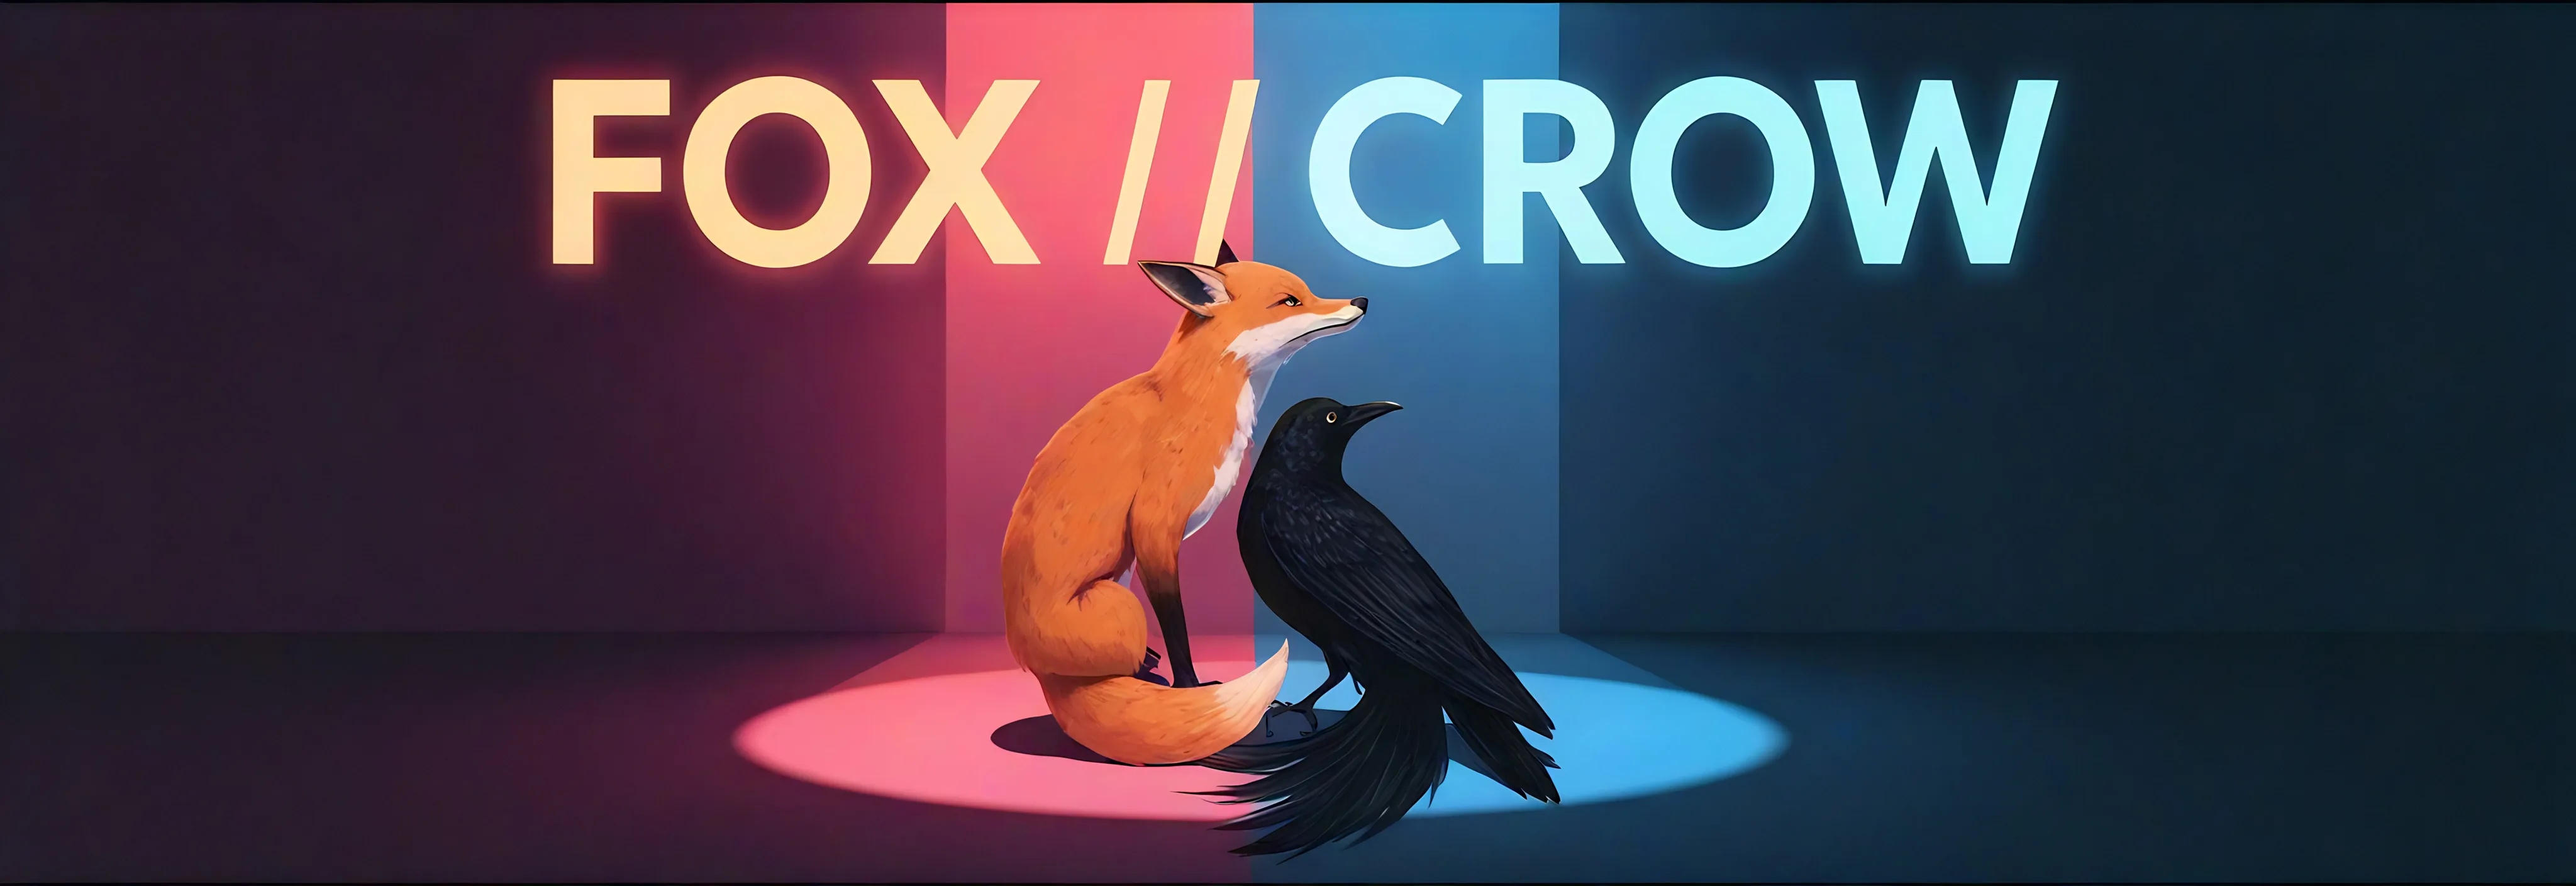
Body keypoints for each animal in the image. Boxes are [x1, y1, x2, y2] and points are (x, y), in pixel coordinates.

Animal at [1000, 242, 1369, 766]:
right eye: (1290, 301)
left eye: (1308, 291)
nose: (1361, 300)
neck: (1195, 404)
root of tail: (1034, 665)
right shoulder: (1155, 528)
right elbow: (1177, 626)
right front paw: (1191, 687)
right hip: (1119, 603)